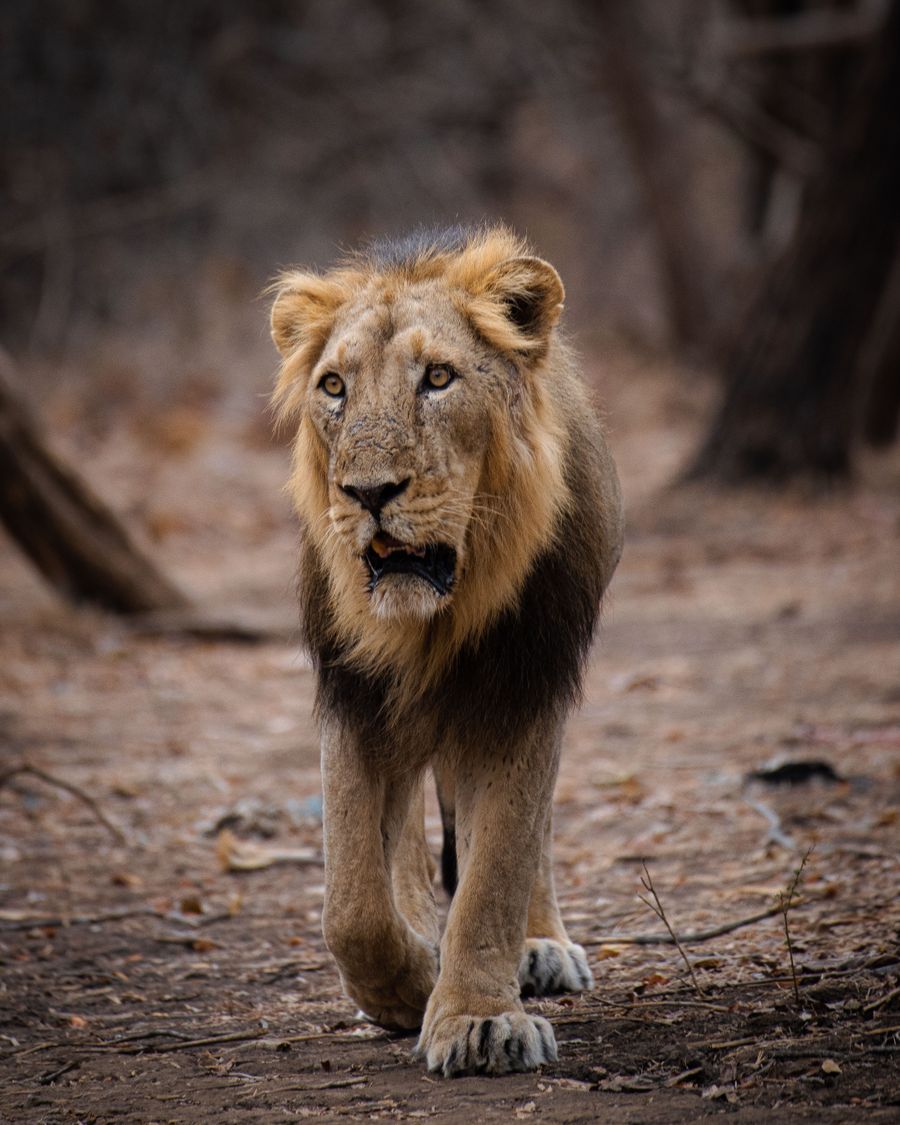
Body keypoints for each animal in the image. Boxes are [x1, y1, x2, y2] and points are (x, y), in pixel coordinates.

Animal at [269, 226, 624, 1076]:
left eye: (438, 377)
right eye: (334, 386)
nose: (369, 492)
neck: (431, 621)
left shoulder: (527, 682)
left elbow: (500, 864)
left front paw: (478, 1018)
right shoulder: (355, 693)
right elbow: (352, 903)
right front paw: (407, 984)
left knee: (531, 835)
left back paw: (539, 945)